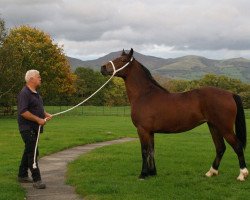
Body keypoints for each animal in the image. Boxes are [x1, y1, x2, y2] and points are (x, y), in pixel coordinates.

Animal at [100, 48, 248, 181]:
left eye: (122, 60)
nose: (103, 67)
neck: (145, 95)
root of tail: (230, 93)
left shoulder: (143, 130)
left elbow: (144, 152)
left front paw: (143, 174)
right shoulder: (150, 132)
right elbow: (152, 151)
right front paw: (152, 173)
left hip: (224, 128)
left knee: (237, 146)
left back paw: (242, 174)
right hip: (213, 126)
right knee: (220, 148)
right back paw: (211, 172)